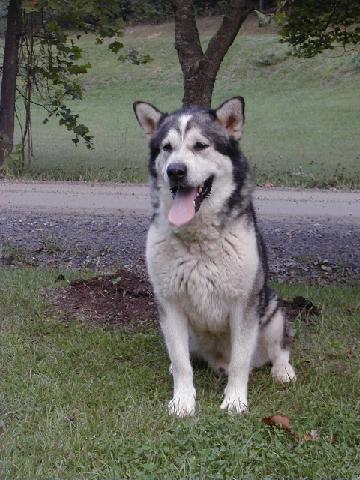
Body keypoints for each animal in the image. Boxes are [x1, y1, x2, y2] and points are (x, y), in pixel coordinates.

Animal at [132, 96, 296, 416]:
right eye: (166, 148)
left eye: (200, 145)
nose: (175, 171)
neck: (198, 239)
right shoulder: (169, 303)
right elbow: (182, 363)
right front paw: (183, 400)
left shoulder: (245, 304)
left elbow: (240, 363)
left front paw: (235, 401)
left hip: (271, 308)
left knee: (278, 350)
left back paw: (283, 371)